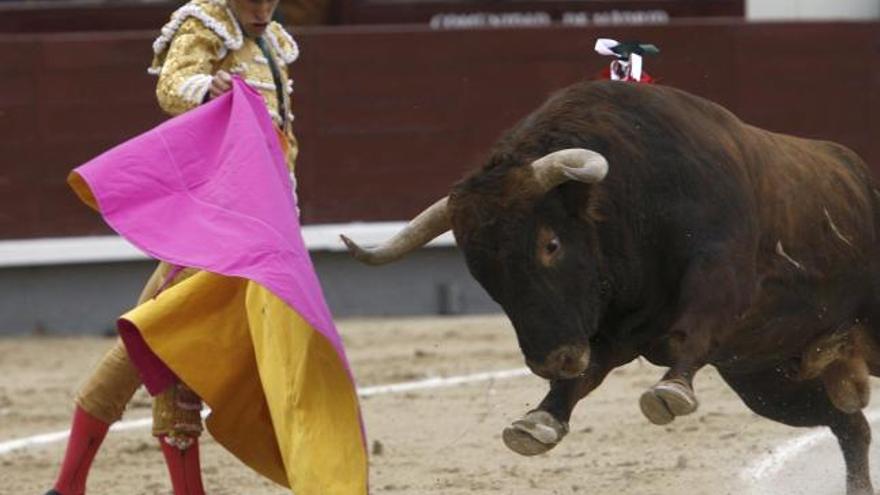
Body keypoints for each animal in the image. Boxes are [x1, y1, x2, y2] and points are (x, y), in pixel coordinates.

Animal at [342, 81, 880, 495]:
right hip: (771, 382)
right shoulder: (616, 329)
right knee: (850, 424)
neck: (634, 200)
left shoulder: (722, 272)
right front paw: (539, 420)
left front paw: (670, 390)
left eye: (551, 244)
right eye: (479, 272)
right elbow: (586, 374)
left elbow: (696, 325)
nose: (549, 359)